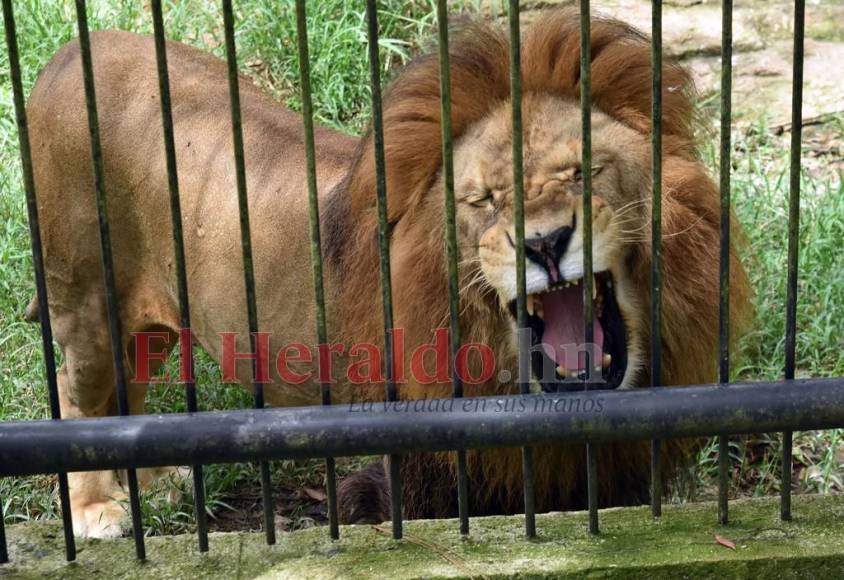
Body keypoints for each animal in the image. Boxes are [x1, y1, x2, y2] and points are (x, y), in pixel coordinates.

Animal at [26, 7, 748, 540]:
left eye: (583, 170)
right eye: (485, 200)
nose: (545, 244)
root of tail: (69, 51)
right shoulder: (419, 476)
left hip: (148, 322)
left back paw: (150, 481)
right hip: (85, 295)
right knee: (77, 391)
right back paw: (97, 511)